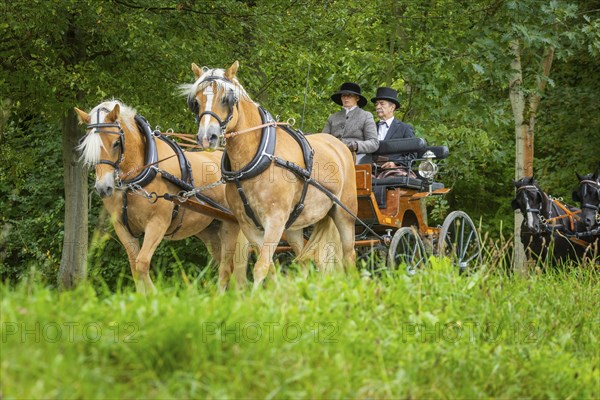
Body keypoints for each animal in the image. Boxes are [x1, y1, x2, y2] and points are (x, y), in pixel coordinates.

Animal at [75, 100, 246, 294]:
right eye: (87, 146)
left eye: (116, 143)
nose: (104, 188)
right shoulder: (121, 226)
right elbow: (135, 267)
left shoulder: (157, 223)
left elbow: (142, 264)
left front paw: (155, 296)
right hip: (210, 229)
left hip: (230, 225)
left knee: (226, 268)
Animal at [179, 61, 356, 288]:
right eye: (196, 101)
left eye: (226, 99)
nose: (206, 137)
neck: (258, 159)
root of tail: (338, 144)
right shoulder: (248, 224)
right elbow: (269, 265)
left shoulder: (275, 220)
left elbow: (261, 266)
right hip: (295, 226)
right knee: (305, 261)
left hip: (344, 214)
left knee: (349, 256)